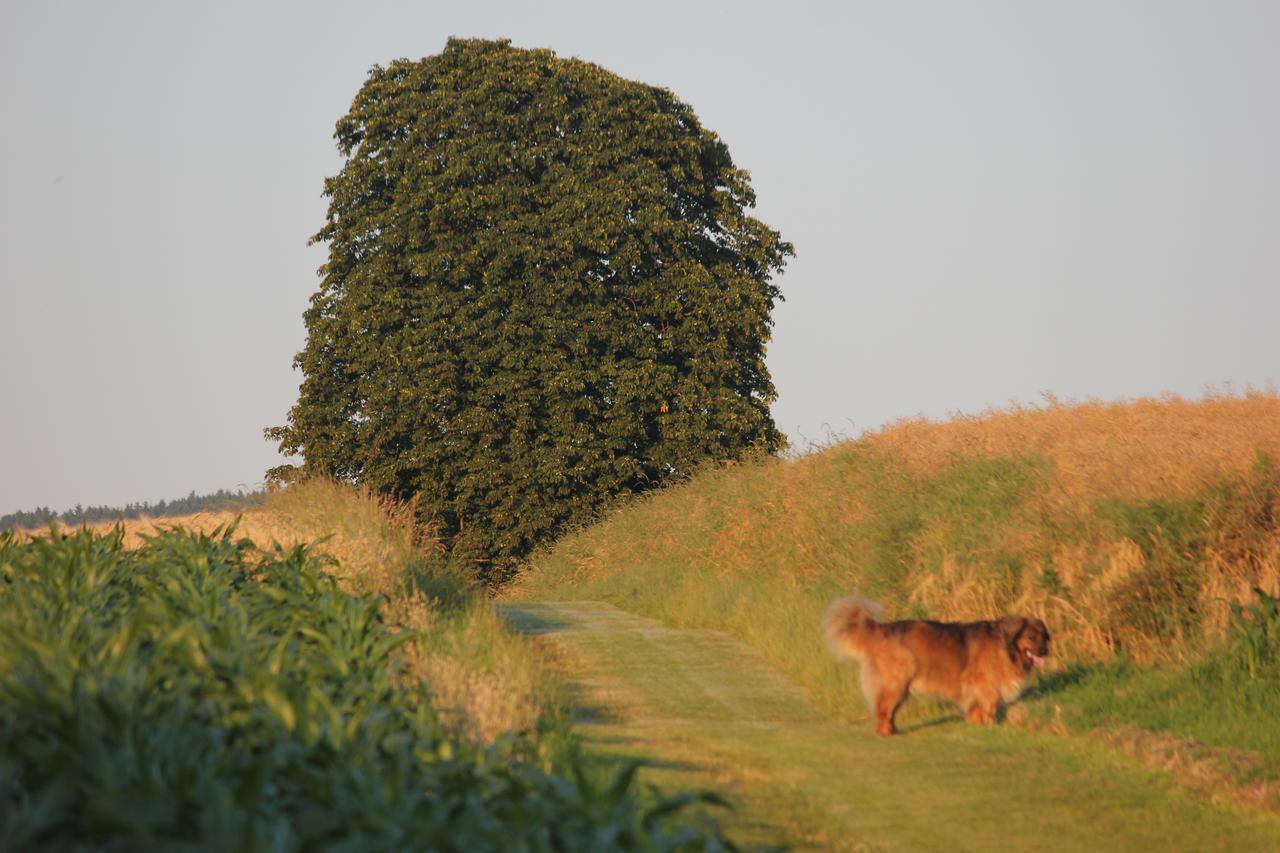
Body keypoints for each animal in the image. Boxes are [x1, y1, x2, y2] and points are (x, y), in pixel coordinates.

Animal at [819, 594, 1049, 732]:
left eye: (1044, 637)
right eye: (1031, 637)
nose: (1045, 652)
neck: (1006, 646)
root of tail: (882, 629)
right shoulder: (983, 684)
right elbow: (989, 705)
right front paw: (987, 724)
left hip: (901, 686)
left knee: (888, 710)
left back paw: (894, 731)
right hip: (896, 682)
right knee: (884, 710)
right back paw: (886, 733)